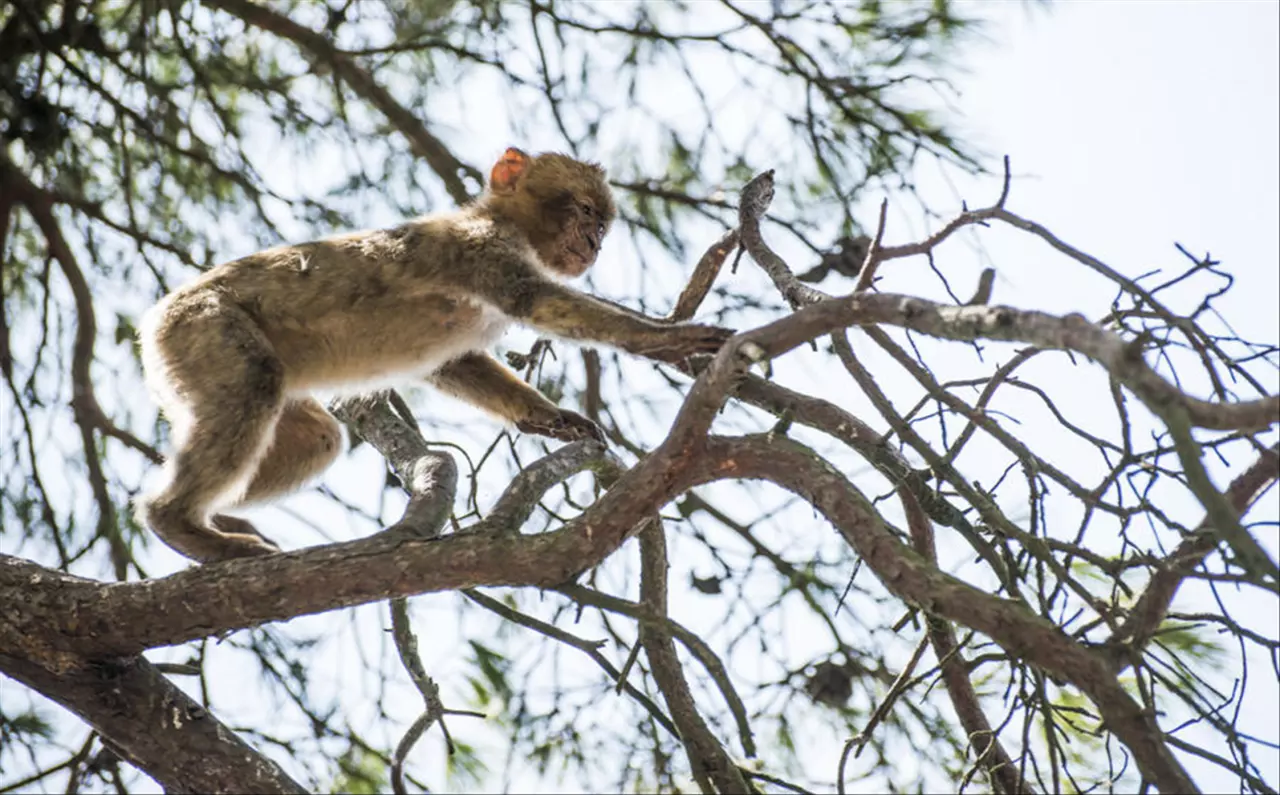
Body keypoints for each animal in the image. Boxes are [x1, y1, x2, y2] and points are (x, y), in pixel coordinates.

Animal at [135, 145, 737, 560]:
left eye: (603, 225)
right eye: (585, 211)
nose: (595, 244)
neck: (504, 223)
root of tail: (154, 319)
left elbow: (456, 364)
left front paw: (548, 417)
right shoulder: (481, 246)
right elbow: (532, 301)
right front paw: (663, 338)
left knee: (316, 439)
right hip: (204, 327)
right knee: (256, 385)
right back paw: (176, 521)